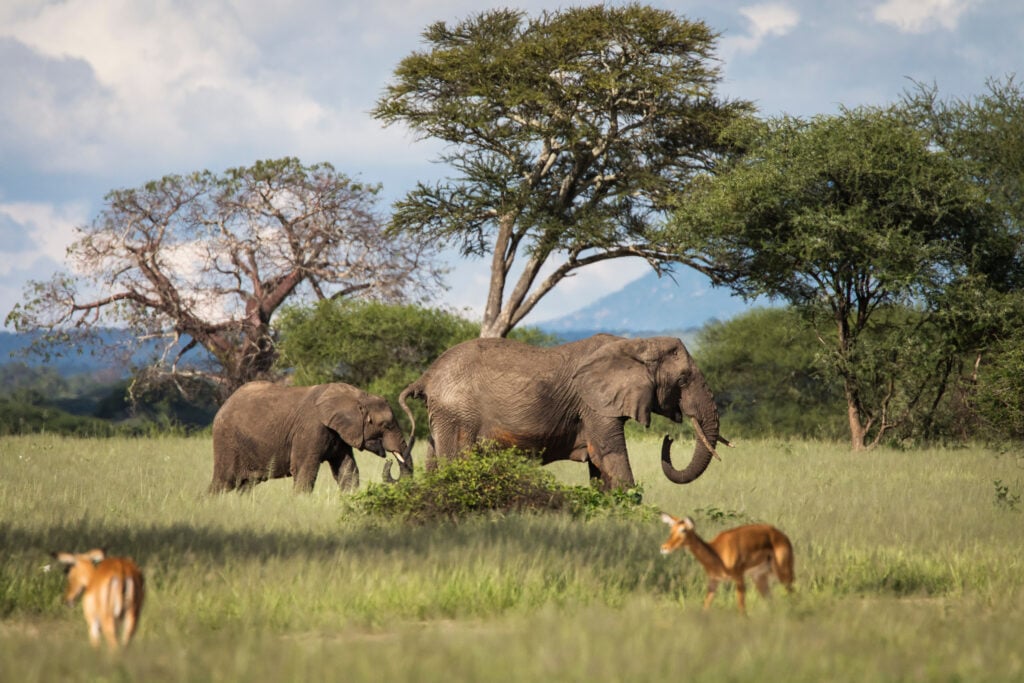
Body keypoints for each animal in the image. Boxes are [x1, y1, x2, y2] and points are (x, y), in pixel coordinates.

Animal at [208, 382, 411, 493]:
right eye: (387, 425)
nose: (389, 461)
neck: (357, 396)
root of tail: (224, 404)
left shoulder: (339, 433)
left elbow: (347, 469)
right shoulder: (310, 429)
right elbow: (305, 469)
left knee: (246, 485)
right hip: (226, 440)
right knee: (223, 481)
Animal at [395, 333, 724, 489]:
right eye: (683, 380)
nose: (669, 438)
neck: (636, 344)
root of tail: (427, 375)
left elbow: (599, 467)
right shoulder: (594, 404)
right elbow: (611, 454)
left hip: (443, 415)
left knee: (434, 461)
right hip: (458, 414)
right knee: (454, 461)